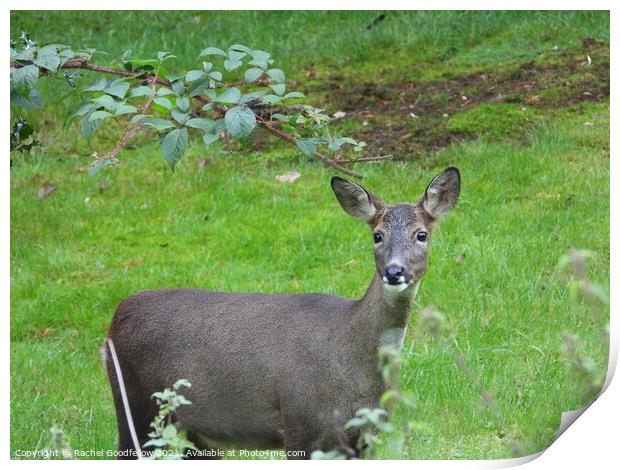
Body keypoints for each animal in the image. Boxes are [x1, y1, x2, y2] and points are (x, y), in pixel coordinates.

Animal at [103, 166, 460, 458]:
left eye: (421, 234)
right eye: (377, 235)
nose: (394, 271)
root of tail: (115, 319)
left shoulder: (366, 436)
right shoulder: (299, 421)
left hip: (195, 431)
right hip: (137, 403)